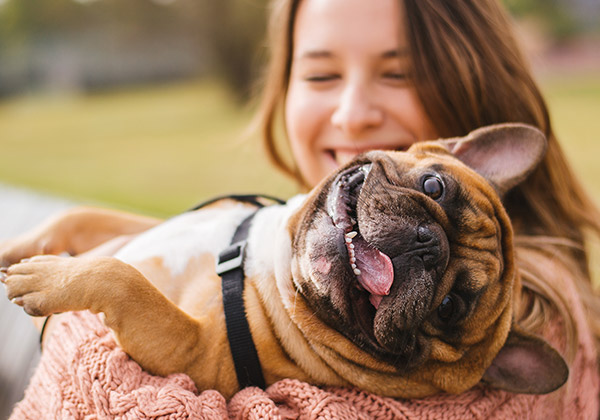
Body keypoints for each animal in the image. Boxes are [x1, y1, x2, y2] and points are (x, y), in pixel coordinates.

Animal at [1, 123, 568, 398]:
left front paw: (46, 278)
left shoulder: (190, 351)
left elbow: (122, 278)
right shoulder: (136, 228)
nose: (428, 244)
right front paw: (21, 249)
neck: (269, 261)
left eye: (450, 307)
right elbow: (77, 217)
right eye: (434, 186)